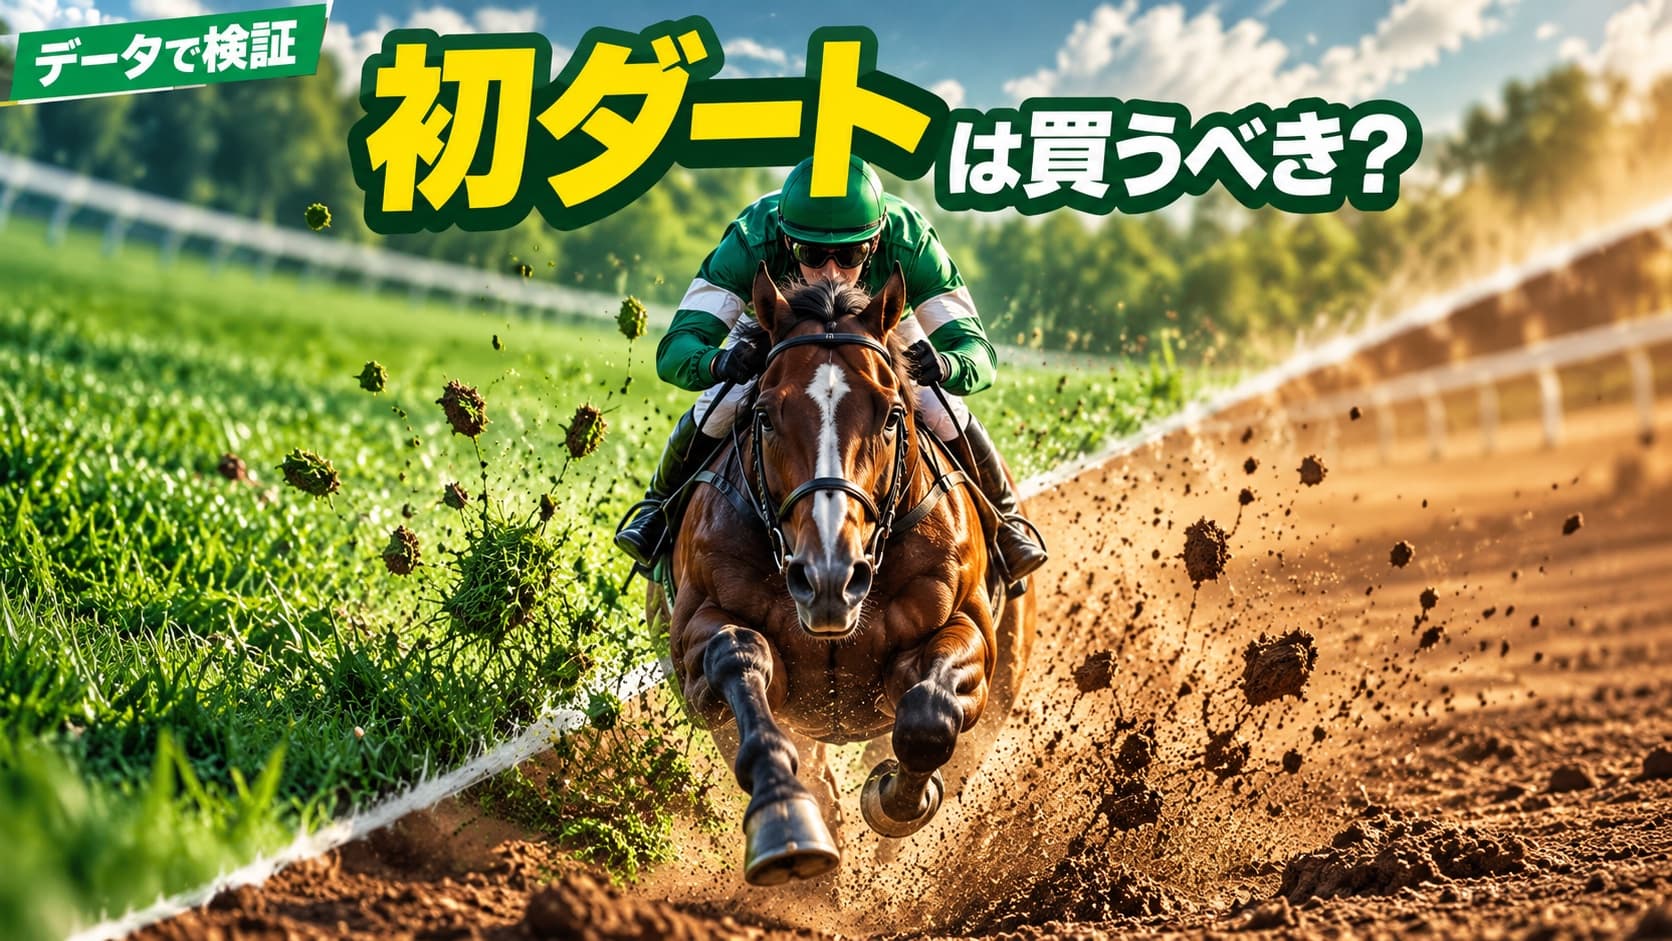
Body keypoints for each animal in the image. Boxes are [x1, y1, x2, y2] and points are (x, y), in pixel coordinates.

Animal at [652, 262, 1036, 885]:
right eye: (764, 415)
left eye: (892, 415)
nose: (829, 578)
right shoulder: (695, 646)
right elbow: (737, 660)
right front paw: (786, 817)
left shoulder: (969, 631)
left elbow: (929, 716)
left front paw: (895, 799)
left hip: (1008, 676)